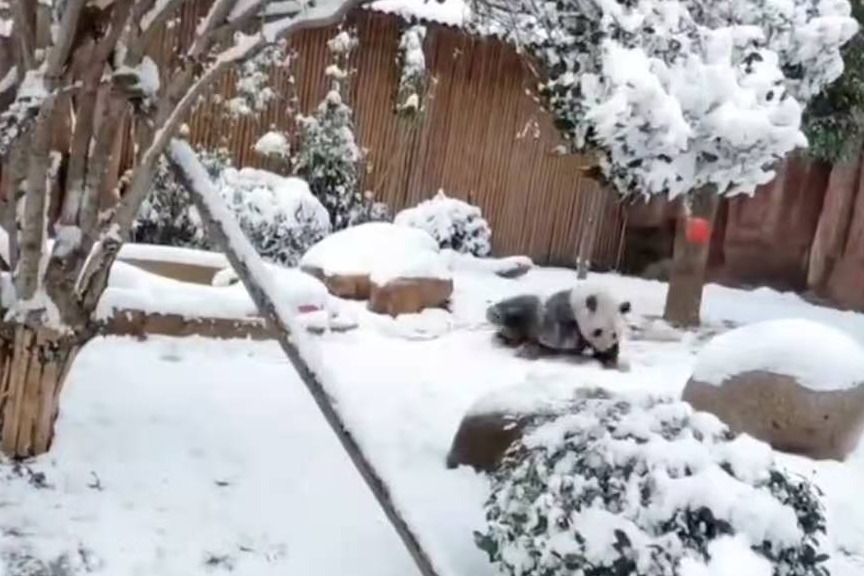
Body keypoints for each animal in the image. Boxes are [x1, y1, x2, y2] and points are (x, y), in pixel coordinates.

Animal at [490, 284, 632, 368]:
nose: (604, 348)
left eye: (614, 334)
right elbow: (556, 333)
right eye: (598, 331)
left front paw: (609, 360)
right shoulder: (563, 310)